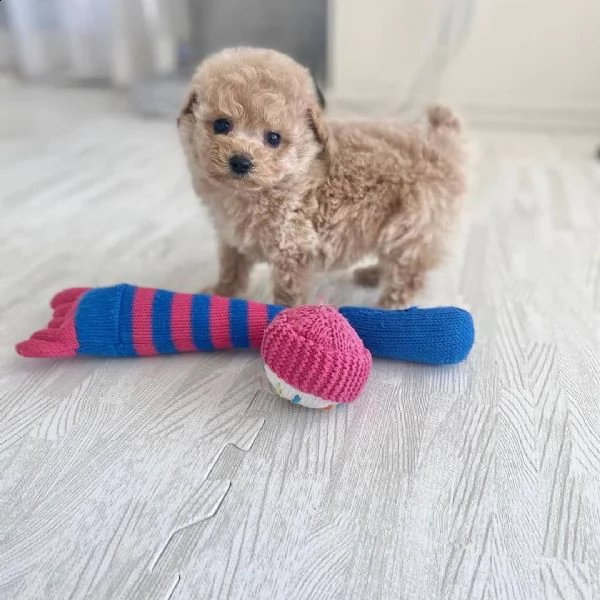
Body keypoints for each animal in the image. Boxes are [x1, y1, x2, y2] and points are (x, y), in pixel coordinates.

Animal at [178, 47, 468, 308]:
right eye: (221, 125)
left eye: (273, 138)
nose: (241, 161)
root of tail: (442, 140)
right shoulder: (233, 239)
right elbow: (232, 267)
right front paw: (220, 293)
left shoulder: (293, 249)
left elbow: (288, 292)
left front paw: (282, 315)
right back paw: (373, 274)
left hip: (413, 225)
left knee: (407, 273)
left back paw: (390, 306)